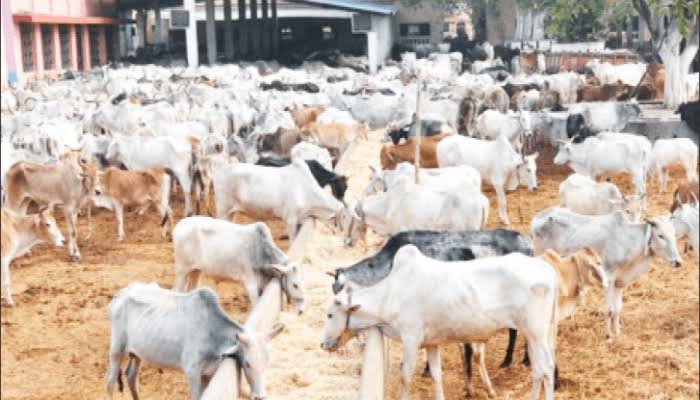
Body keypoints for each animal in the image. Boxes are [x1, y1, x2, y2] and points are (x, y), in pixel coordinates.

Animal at [106, 282, 284, 400]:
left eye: (267, 362)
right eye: (247, 364)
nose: (260, 396)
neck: (212, 331)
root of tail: (121, 293)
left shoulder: (209, 373)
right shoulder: (192, 372)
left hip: (137, 353)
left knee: (131, 376)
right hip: (116, 349)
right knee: (110, 381)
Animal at [172, 217, 304, 314]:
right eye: (295, 285)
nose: (301, 311)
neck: (261, 251)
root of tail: (179, 226)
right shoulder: (251, 284)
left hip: (196, 270)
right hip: (181, 271)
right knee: (176, 291)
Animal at [321, 245, 558, 400]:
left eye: (330, 315)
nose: (324, 344)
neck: (391, 293)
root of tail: (547, 269)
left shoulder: (411, 339)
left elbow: (405, 377)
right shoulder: (431, 344)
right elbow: (437, 375)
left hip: (536, 332)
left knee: (546, 367)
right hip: (536, 334)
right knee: (538, 369)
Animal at [531, 207, 683, 338]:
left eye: (674, 234)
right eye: (661, 235)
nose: (678, 262)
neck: (628, 240)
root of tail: (537, 217)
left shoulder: (619, 282)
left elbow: (617, 309)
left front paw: (618, 333)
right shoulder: (609, 279)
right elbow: (609, 310)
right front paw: (608, 335)